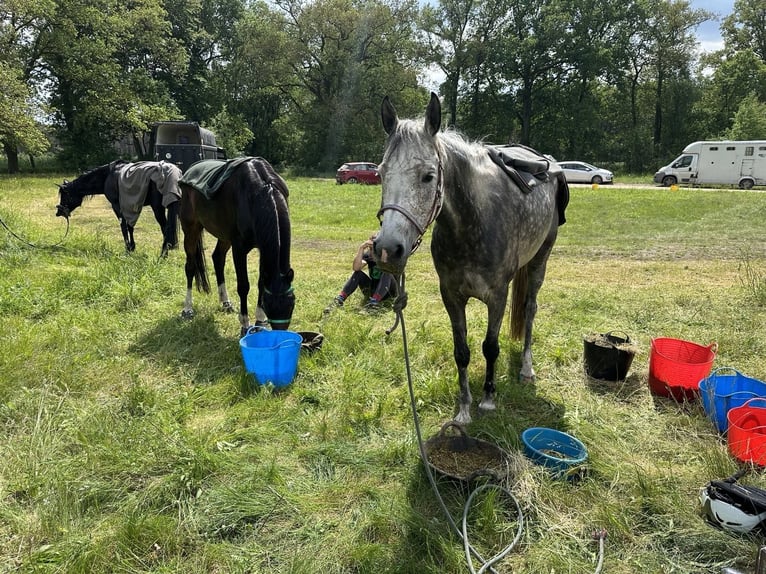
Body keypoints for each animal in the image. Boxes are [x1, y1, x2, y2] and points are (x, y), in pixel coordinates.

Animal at [179, 158, 296, 338]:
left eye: (291, 304)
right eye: (270, 306)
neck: (262, 190)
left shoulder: (262, 248)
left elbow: (261, 282)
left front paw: (259, 322)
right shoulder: (239, 248)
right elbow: (243, 286)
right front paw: (245, 325)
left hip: (224, 236)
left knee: (218, 258)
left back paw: (226, 303)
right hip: (191, 230)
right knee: (190, 267)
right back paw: (187, 309)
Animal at [372, 94, 568, 426]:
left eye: (428, 176)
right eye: (381, 174)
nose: (387, 249)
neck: (472, 224)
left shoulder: (497, 296)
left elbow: (490, 347)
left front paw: (488, 399)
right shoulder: (451, 295)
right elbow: (461, 351)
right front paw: (464, 407)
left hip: (541, 259)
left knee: (530, 309)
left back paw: (526, 368)